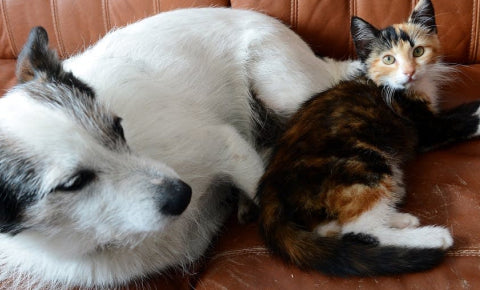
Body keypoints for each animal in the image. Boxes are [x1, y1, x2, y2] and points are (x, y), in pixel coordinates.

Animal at [0, 7, 360, 288]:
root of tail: (318, 59)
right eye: (73, 183)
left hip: (281, 87)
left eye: (118, 127)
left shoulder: (224, 143)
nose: (183, 194)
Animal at [255, 0, 480, 276]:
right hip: (361, 162)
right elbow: (461, 121)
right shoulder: (425, 128)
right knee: (359, 229)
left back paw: (399, 216)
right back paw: (432, 238)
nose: (410, 72)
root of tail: (271, 183)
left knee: (333, 227)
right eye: (389, 59)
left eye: (418, 52)